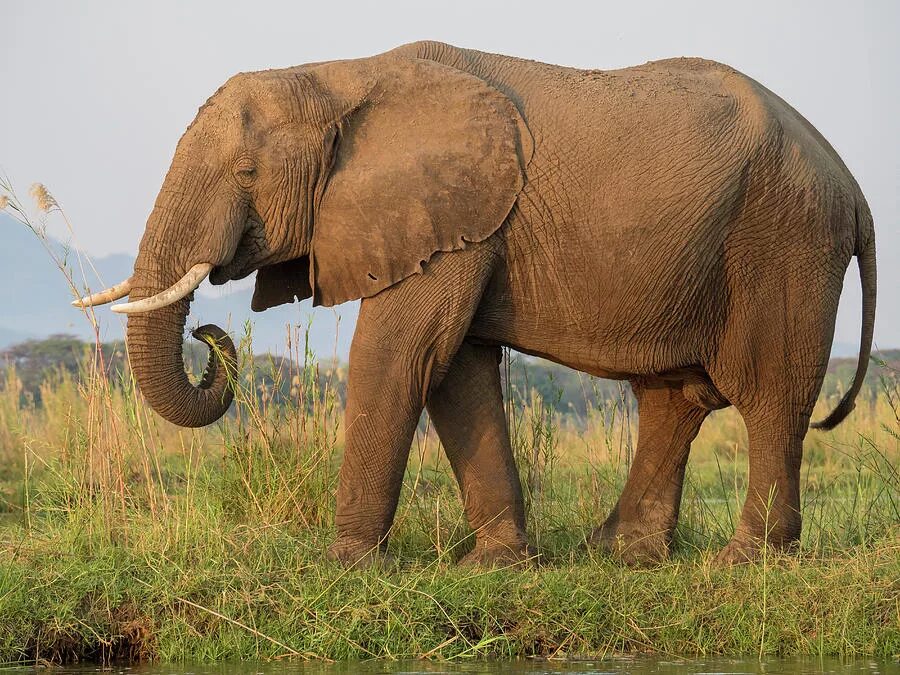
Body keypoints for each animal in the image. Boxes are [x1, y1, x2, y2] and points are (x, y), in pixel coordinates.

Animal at [77, 41, 880, 564]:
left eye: (246, 172)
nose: (210, 336)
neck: (337, 75)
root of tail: (852, 186)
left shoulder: (446, 210)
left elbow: (402, 355)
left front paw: (344, 565)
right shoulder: (456, 222)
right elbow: (456, 367)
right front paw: (496, 565)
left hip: (787, 239)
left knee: (771, 394)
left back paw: (748, 560)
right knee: (673, 398)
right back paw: (620, 553)